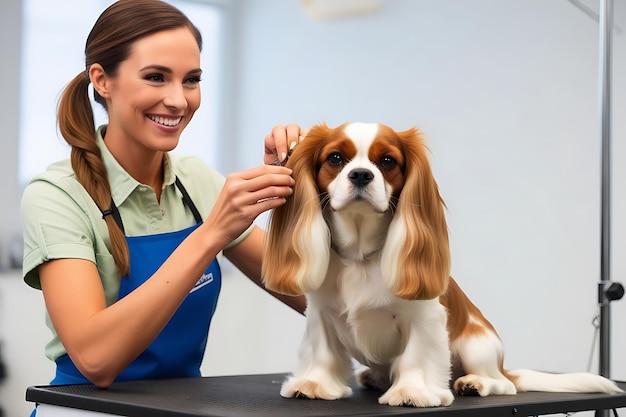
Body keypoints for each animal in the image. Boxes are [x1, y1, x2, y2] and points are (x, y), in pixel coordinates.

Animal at [260, 122, 620, 404]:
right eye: (335, 158)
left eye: (387, 161)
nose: (361, 174)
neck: (361, 254)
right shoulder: (320, 314)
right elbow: (322, 352)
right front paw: (314, 385)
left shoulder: (425, 318)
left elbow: (416, 356)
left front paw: (412, 392)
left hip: (478, 345)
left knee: (503, 385)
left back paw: (473, 383)